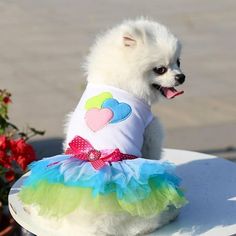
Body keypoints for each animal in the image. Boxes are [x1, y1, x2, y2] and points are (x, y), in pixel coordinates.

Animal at [61, 17, 185, 235]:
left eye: (178, 62)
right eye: (160, 69)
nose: (181, 77)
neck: (118, 82)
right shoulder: (151, 130)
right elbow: (152, 152)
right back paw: (169, 212)